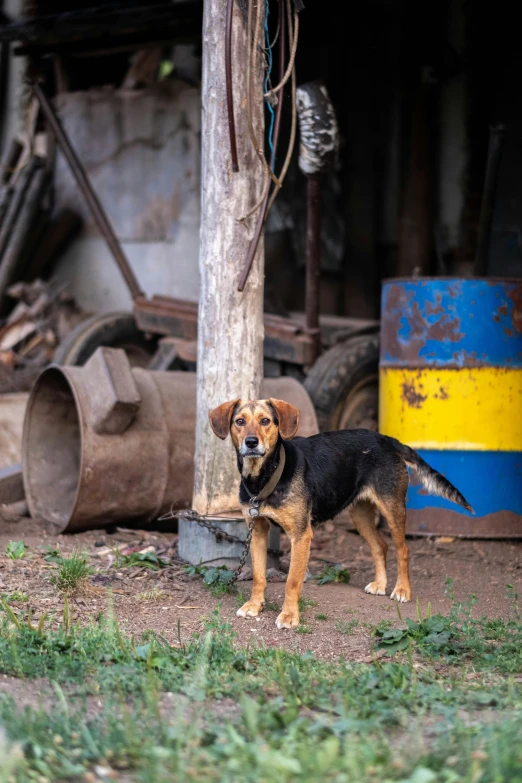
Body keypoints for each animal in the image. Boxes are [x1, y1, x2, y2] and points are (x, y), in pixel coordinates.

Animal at [208, 398, 472, 632]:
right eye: (240, 421)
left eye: (265, 421)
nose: (251, 442)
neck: (263, 477)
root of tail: (388, 440)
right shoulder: (258, 529)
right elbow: (259, 576)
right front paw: (254, 605)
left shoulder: (301, 535)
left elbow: (292, 581)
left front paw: (289, 616)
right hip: (359, 512)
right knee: (380, 546)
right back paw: (381, 584)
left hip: (392, 507)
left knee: (402, 549)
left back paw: (402, 590)